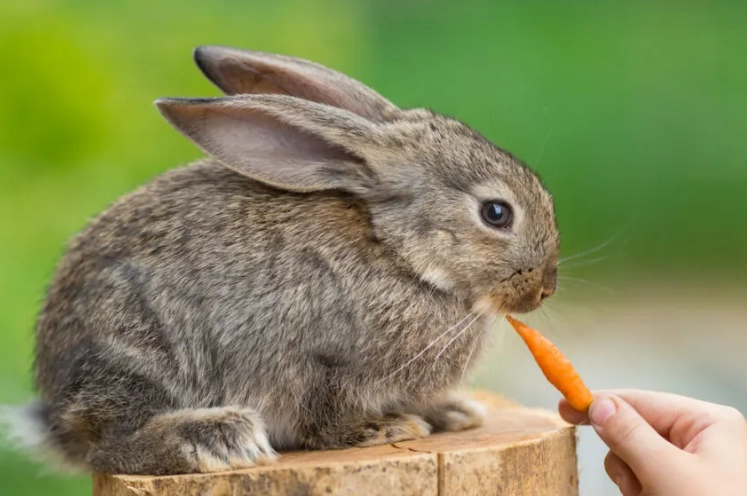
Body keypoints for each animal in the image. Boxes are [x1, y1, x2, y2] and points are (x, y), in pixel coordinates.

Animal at [8, 46, 559, 476]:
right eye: (496, 213)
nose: (545, 288)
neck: (400, 255)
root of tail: (54, 417)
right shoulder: (319, 362)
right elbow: (327, 417)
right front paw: (385, 429)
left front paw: (454, 412)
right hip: (139, 346)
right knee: (110, 445)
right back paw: (216, 437)